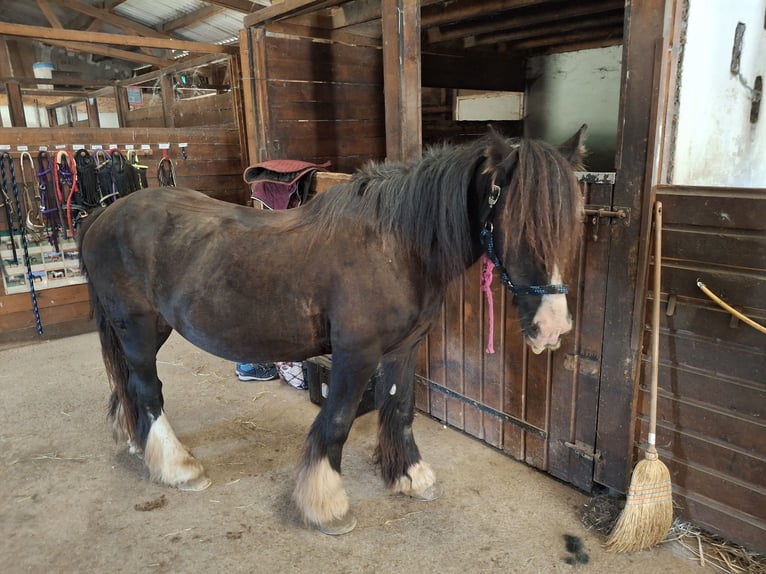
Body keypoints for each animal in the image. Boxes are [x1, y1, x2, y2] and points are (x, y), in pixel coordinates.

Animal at [78, 126, 584, 536]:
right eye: (516, 221)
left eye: (573, 223)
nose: (552, 328)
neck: (394, 246)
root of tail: (104, 216)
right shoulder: (356, 354)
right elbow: (337, 420)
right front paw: (326, 505)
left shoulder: (404, 348)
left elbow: (400, 408)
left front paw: (409, 476)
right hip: (138, 329)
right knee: (148, 390)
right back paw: (179, 467)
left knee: (130, 387)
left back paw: (140, 443)